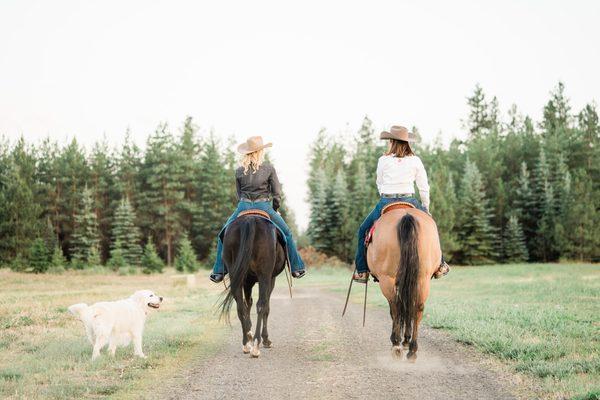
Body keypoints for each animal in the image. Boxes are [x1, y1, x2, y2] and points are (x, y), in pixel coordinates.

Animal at [219, 214, 288, 358]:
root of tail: (249, 220)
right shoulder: (270, 279)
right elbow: (266, 307)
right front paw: (266, 339)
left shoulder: (247, 281)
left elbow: (248, 304)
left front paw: (249, 332)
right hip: (264, 275)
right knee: (261, 305)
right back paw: (256, 345)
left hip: (236, 275)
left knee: (240, 306)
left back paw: (246, 343)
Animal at [366, 205, 440, 360]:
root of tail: (406, 216)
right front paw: (406, 340)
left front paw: (401, 341)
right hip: (422, 278)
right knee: (417, 307)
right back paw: (412, 349)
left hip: (387, 279)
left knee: (396, 307)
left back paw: (396, 345)